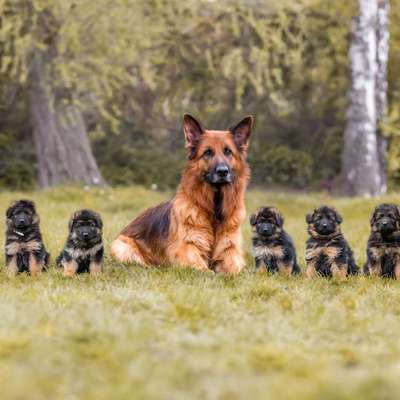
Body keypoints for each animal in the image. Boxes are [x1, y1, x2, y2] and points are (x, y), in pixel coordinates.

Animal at [110, 114, 253, 274]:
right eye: (207, 152)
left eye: (228, 151)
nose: (223, 172)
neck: (214, 209)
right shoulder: (187, 249)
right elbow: (205, 270)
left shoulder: (230, 250)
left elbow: (236, 270)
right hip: (122, 247)